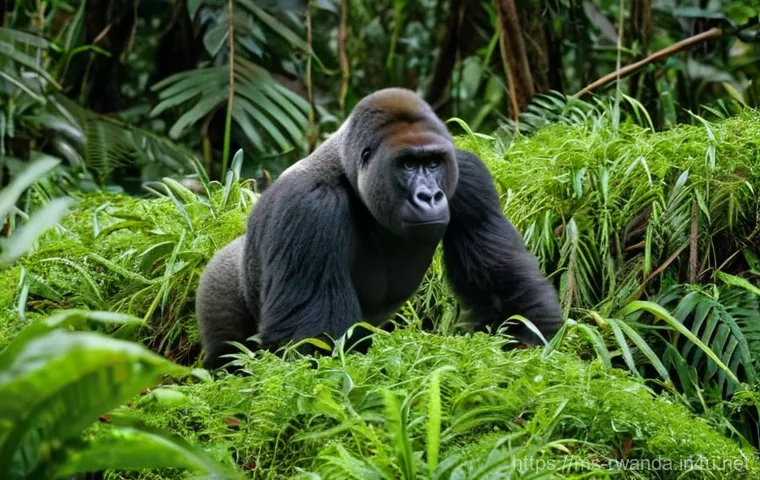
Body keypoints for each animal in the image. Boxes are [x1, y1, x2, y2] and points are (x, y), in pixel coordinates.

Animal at [195, 88, 563, 371]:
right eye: (408, 164)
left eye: (433, 162)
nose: (429, 196)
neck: (348, 171)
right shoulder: (308, 205)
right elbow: (313, 346)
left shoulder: (470, 176)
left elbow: (503, 285)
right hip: (217, 290)